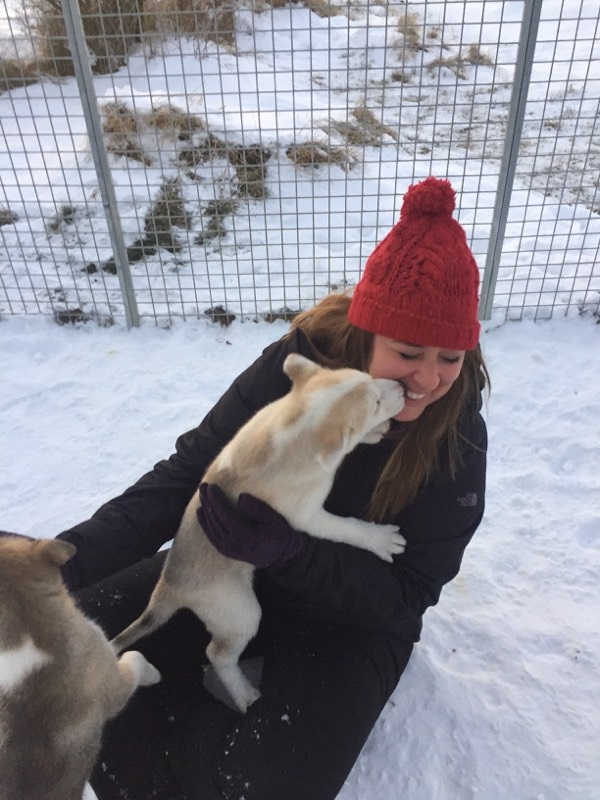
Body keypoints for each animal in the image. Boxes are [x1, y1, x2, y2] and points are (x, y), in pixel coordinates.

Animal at [112, 354, 406, 712]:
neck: (293, 422)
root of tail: (168, 586)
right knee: (218, 654)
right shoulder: (308, 516)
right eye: (375, 403)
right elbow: (347, 529)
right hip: (241, 613)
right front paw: (381, 540)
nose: (403, 387)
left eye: (370, 378)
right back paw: (244, 695)